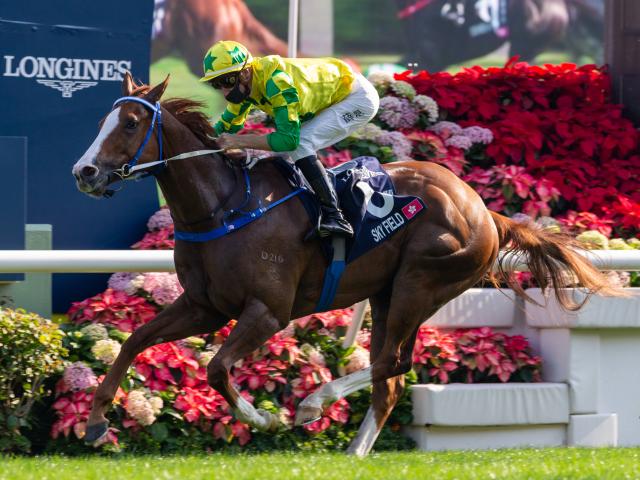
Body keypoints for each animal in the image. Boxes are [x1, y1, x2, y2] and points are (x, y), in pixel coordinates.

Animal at [74, 73, 616, 456]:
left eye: (130, 124)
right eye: (100, 123)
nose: (85, 172)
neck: (225, 206)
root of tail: (484, 209)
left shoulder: (267, 312)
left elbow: (217, 369)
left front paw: (265, 418)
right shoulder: (204, 306)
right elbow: (136, 340)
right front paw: (98, 420)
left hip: (422, 282)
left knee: (392, 363)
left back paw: (314, 404)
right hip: (388, 292)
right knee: (390, 380)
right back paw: (355, 451)